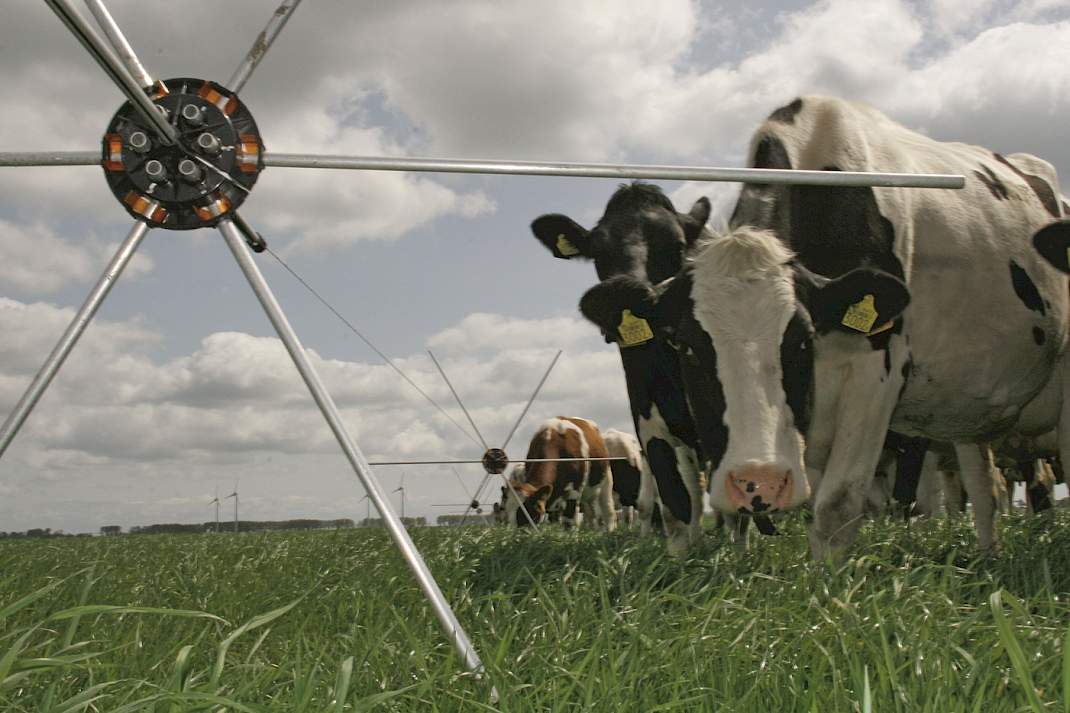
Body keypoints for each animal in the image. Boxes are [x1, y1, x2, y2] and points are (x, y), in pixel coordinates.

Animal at [531, 184, 715, 554]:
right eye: (597, 252)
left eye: (677, 246)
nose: (616, 292)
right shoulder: (651, 425)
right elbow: (676, 501)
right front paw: (684, 558)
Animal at [581, 95, 1068, 560]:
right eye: (685, 345)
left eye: (801, 339)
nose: (759, 482)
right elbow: (683, 515)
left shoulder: (878, 369)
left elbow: (837, 508)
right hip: (969, 415)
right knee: (983, 486)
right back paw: (987, 554)